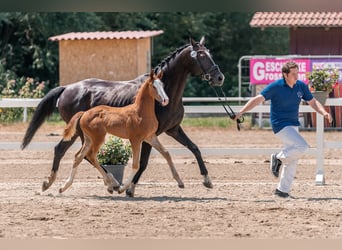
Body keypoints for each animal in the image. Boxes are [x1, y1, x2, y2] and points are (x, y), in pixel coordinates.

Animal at [20, 36, 224, 197]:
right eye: (201, 55)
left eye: (210, 53)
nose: (219, 77)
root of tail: (67, 88)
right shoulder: (150, 135)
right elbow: (142, 162)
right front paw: (129, 189)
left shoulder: (172, 129)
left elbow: (194, 148)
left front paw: (207, 180)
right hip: (81, 133)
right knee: (83, 155)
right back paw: (110, 183)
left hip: (81, 133)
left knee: (67, 152)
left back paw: (51, 183)